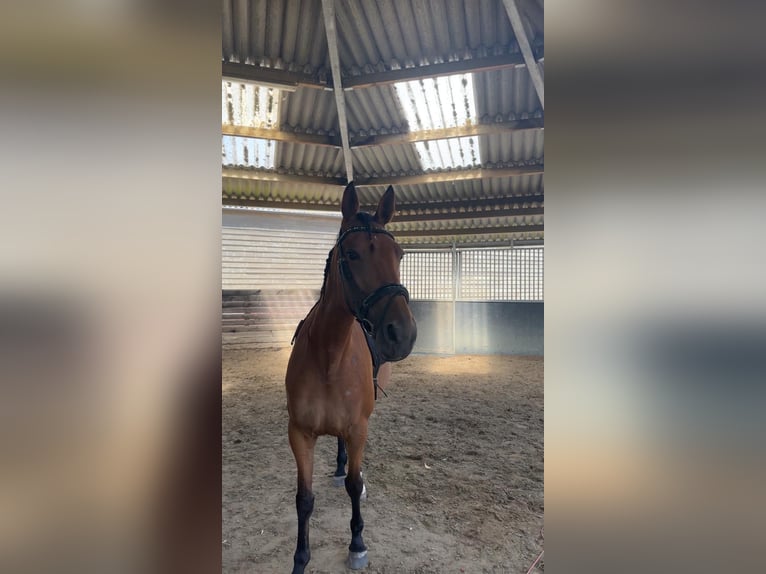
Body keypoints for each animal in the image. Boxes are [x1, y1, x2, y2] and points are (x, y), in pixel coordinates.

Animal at [285, 181, 417, 573]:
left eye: (399, 254)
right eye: (353, 254)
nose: (402, 333)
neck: (330, 357)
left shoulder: (359, 428)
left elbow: (355, 486)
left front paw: (357, 543)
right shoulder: (299, 433)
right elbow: (304, 499)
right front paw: (300, 559)